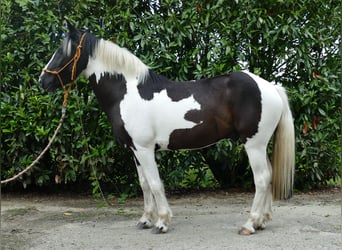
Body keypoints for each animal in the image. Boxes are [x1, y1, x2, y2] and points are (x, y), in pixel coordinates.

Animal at [39, 22, 294, 235]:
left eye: (62, 51)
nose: (43, 81)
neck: (127, 93)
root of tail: (270, 86)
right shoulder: (135, 151)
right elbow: (144, 184)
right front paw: (145, 220)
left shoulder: (144, 149)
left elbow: (155, 184)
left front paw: (161, 222)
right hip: (260, 144)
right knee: (268, 176)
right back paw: (262, 221)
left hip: (254, 144)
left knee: (261, 179)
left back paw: (249, 224)